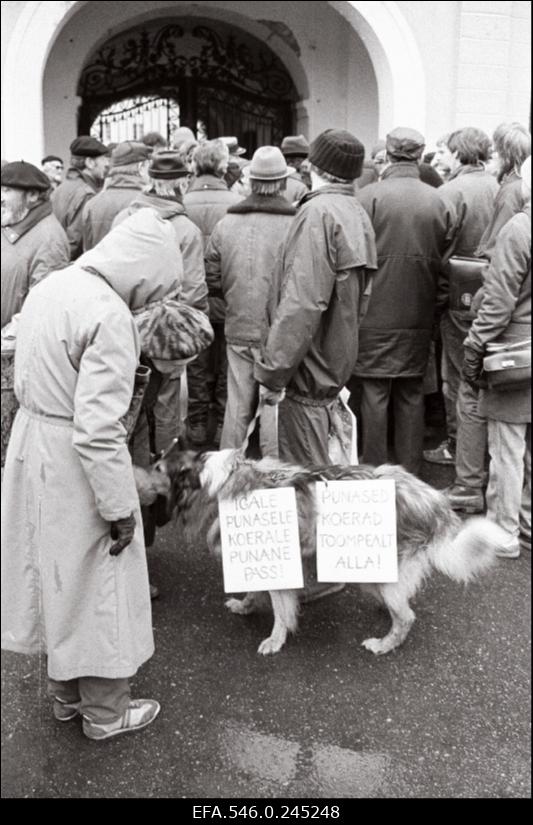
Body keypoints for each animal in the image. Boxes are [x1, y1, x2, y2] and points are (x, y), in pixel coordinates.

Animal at [139, 448, 504, 652]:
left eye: (158, 469)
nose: (139, 472)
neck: (211, 481)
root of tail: (435, 503)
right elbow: (256, 591)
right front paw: (244, 606)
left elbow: (281, 610)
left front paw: (275, 641)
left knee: (406, 617)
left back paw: (383, 645)